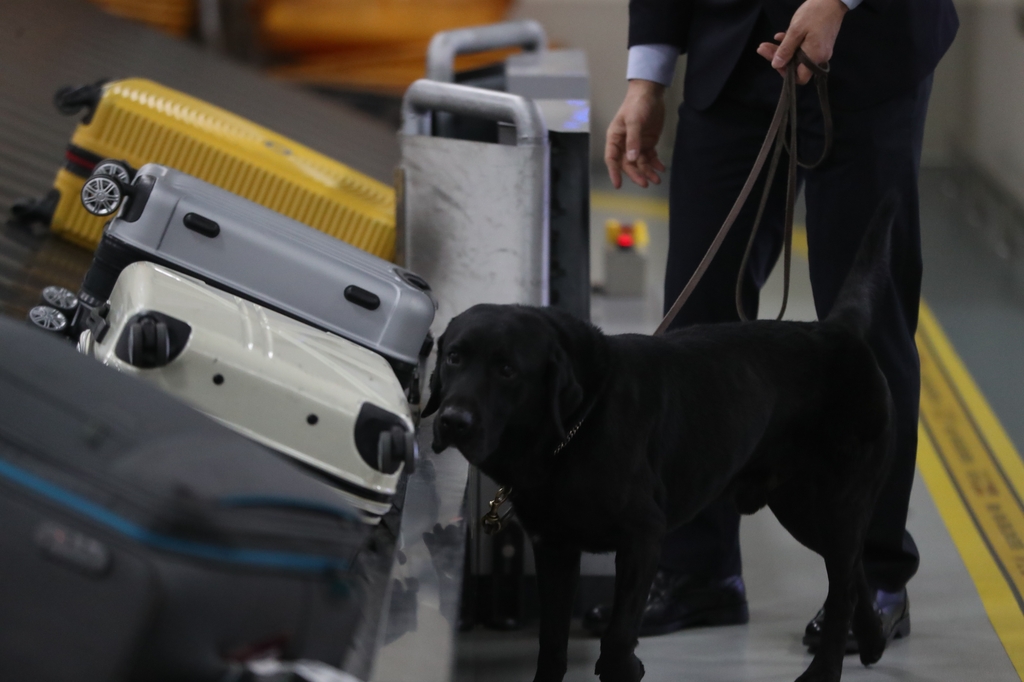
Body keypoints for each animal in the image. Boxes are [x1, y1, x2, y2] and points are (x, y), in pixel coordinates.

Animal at [421, 197, 897, 679]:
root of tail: (837, 330)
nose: (453, 420)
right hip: (801, 507)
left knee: (843, 589)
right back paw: (872, 640)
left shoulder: (643, 536)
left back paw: (824, 669)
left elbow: (616, 637)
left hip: (837, 499)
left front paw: (624, 666)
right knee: (852, 572)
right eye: (454, 357)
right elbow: (552, 643)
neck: (574, 429)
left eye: (507, 370)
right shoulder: (554, 547)